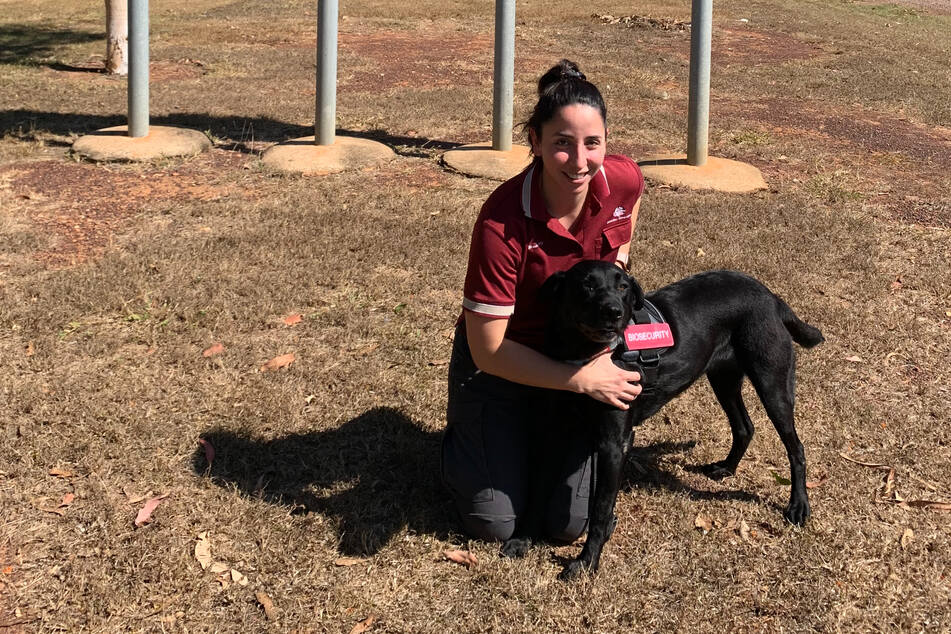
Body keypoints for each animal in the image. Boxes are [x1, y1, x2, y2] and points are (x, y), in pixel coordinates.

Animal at [506, 258, 824, 576]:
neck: (585, 358)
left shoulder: (614, 443)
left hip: (772, 382)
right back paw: (726, 468)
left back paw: (798, 506)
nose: (614, 312)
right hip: (723, 377)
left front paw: (586, 562)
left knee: (796, 448)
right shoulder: (554, 431)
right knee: (745, 427)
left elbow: (600, 510)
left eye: (623, 287)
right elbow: (538, 490)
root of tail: (770, 296)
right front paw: (522, 539)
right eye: (587, 284)